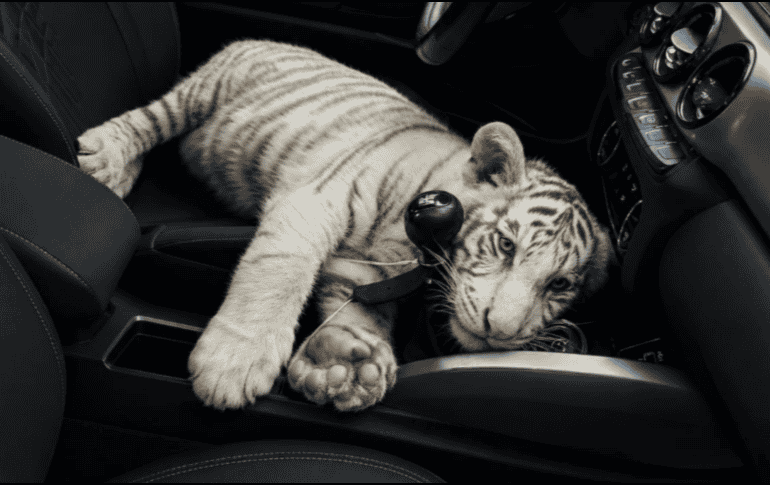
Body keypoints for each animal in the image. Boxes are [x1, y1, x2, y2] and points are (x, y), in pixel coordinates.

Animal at [76, 39, 615, 412]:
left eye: (559, 285)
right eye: (505, 245)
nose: (499, 331)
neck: (412, 247)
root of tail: (270, 39)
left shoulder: (366, 267)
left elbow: (359, 311)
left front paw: (343, 364)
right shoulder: (314, 202)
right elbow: (278, 273)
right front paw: (233, 362)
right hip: (204, 91)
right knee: (150, 119)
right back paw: (106, 158)